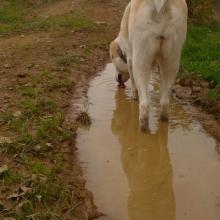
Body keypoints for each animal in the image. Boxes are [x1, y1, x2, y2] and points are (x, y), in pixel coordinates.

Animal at [110, 0, 187, 130]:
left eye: (112, 59)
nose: (116, 78)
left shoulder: (130, 60)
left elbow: (134, 85)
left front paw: (133, 96)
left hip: (140, 62)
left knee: (144, 106)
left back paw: (142, 130)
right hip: (172, 62)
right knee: (165, 103)